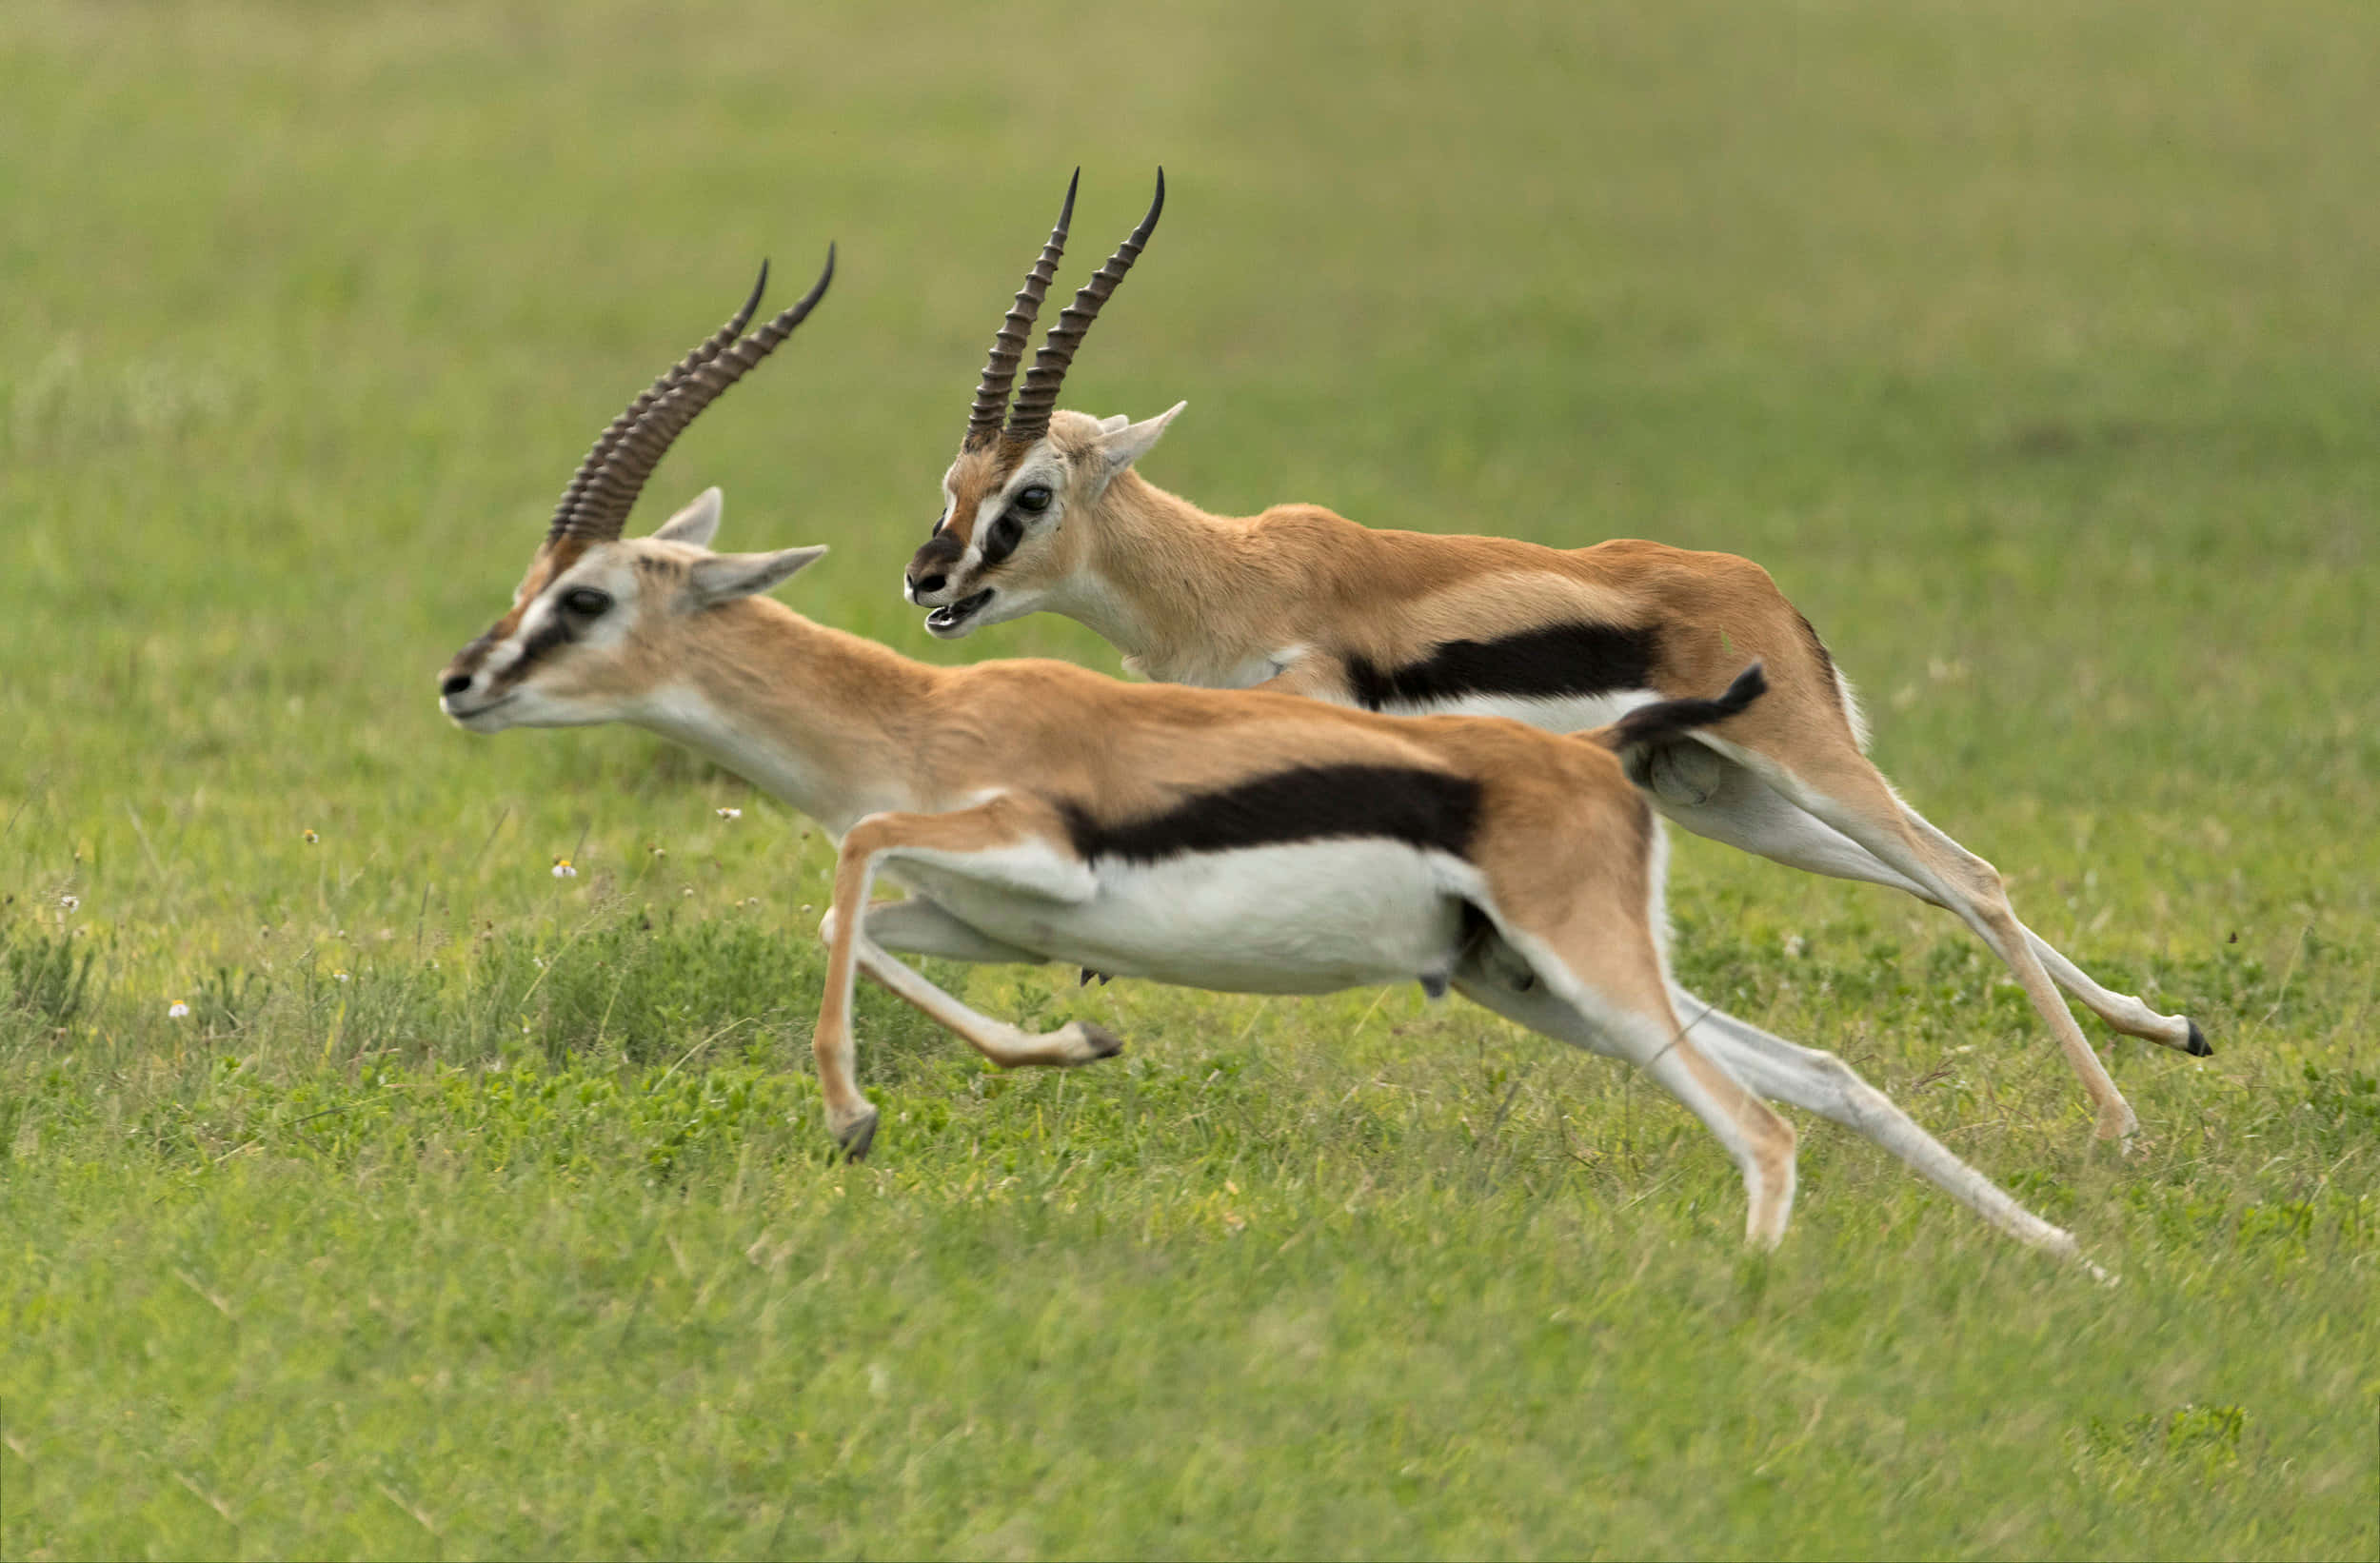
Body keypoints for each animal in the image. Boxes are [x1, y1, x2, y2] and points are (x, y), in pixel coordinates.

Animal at [904, 172, 2209, 1144]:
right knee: (1933, 880)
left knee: (1969, 878)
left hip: (1802, 763)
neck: (1230, 581)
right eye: (954, 483)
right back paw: (2169, 1030)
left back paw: (2118, 1124)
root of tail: (1763, 593)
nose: (928, 581)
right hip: (1728, 798)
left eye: (1031, 494)